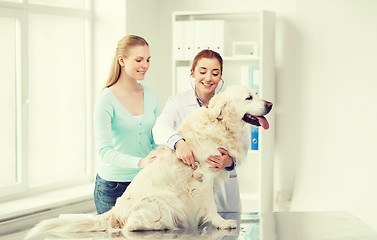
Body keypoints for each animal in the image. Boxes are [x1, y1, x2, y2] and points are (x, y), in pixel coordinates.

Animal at [25, 85, 270, 239]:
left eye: (256, 93)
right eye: (248, 98)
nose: (270, 104)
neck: (220, 124)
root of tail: (115, 212)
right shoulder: (203, 178)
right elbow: (210, 206)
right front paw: (222, 222)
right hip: (160, 202)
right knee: (129, 227)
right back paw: (164, 226)